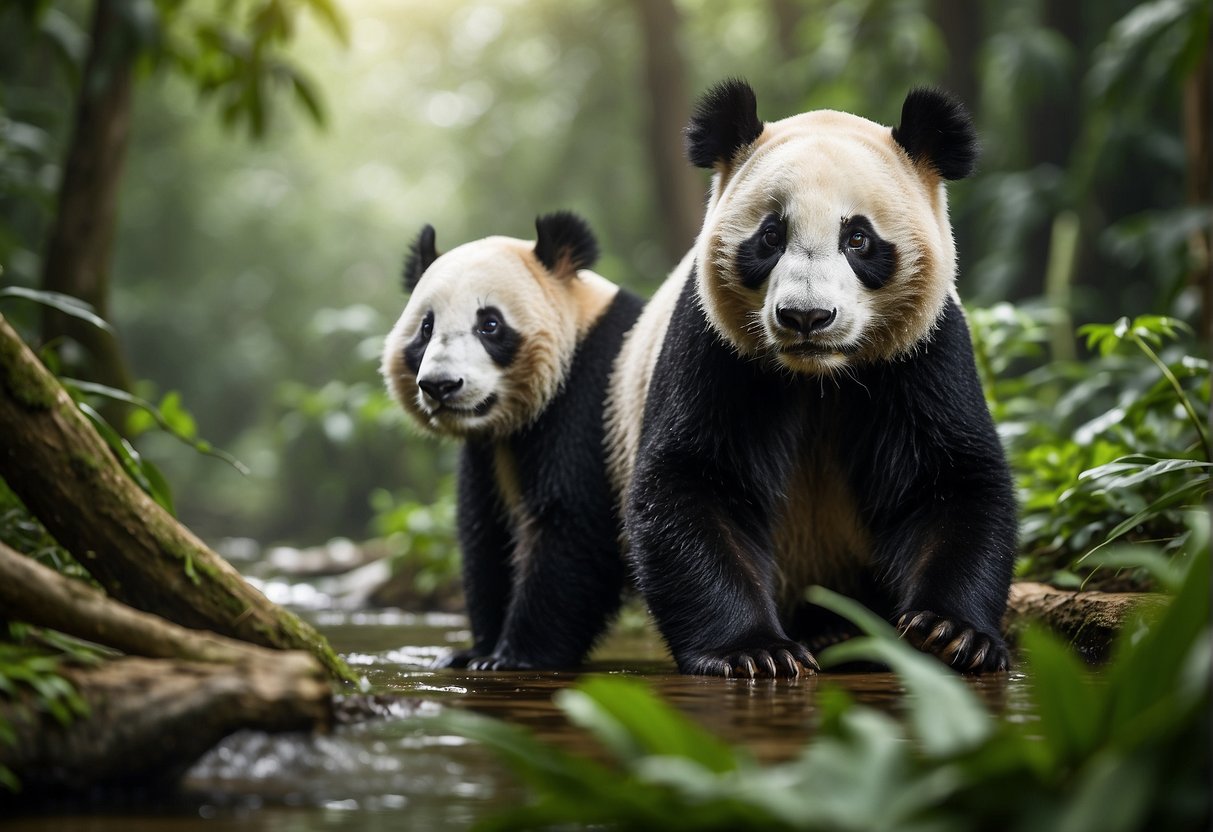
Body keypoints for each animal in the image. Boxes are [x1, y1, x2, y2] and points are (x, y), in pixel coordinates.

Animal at [382, 211, 643, 670]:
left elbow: (573, 521)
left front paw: (515, 656)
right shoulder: (487, 450)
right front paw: (473, 651)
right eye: (426, 328)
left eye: (490, 324)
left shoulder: (596, 395)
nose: (441, 386)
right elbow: (486, 534)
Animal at [605, 80, 1017, 678]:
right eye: (770, 236)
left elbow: (950, 480)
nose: (806, 317)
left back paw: (843, 630)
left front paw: (950, 633)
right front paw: (753, 651)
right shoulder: (717, 347)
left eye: (859, 239)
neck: (819, 375)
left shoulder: (924, 351)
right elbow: (693, 481)